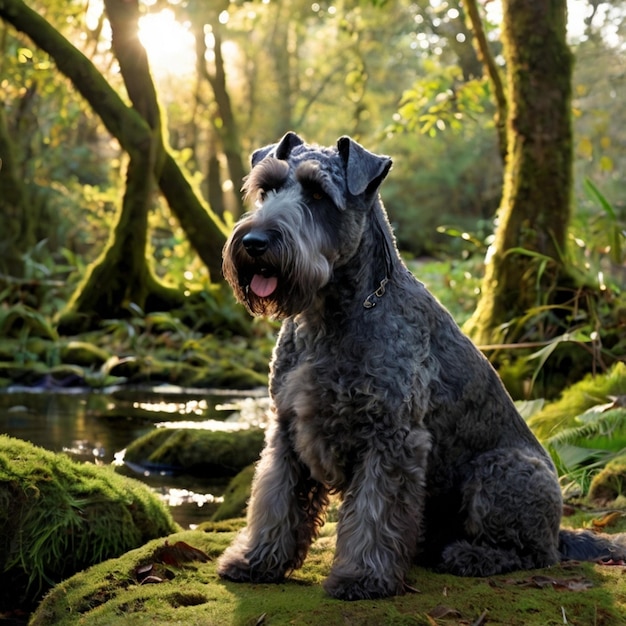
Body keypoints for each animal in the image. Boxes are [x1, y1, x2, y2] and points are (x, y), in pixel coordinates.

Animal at [217, 133, 620, 600]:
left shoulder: (390, 438)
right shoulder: (287, 429)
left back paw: (470, 556)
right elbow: (274, 500)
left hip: (501, 472)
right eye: (266, 188)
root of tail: (560, 530)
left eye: (318, 194)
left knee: (534, 553)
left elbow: (373, 514)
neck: (331, 316)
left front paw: (362, 576)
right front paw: (256, 560)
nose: (254, 242)